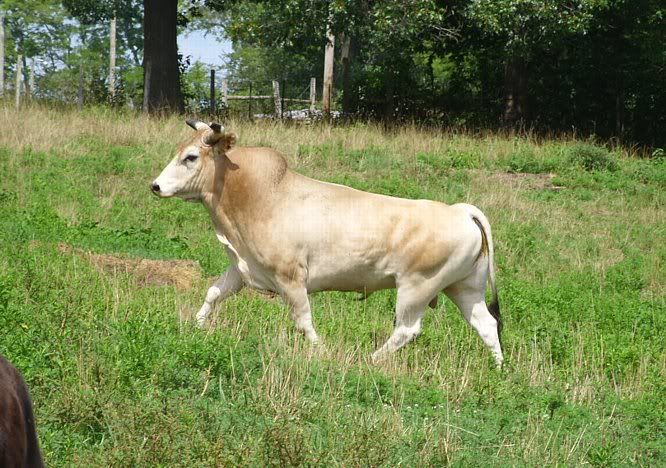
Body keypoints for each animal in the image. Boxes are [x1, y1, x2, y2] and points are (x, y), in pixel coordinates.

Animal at [151, 121, 504, 366]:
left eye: (190, 157)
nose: (155, 186)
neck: (259, 195)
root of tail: (460, 210)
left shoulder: (291, 277)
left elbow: (303, 319)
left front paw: (320, 351)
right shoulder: (241, 268)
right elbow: (212, 293)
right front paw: (197, 325)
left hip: (416, 288)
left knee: (407, 330)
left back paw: (371, 360)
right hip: (464, 287)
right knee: (486, 324)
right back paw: (498, 368)